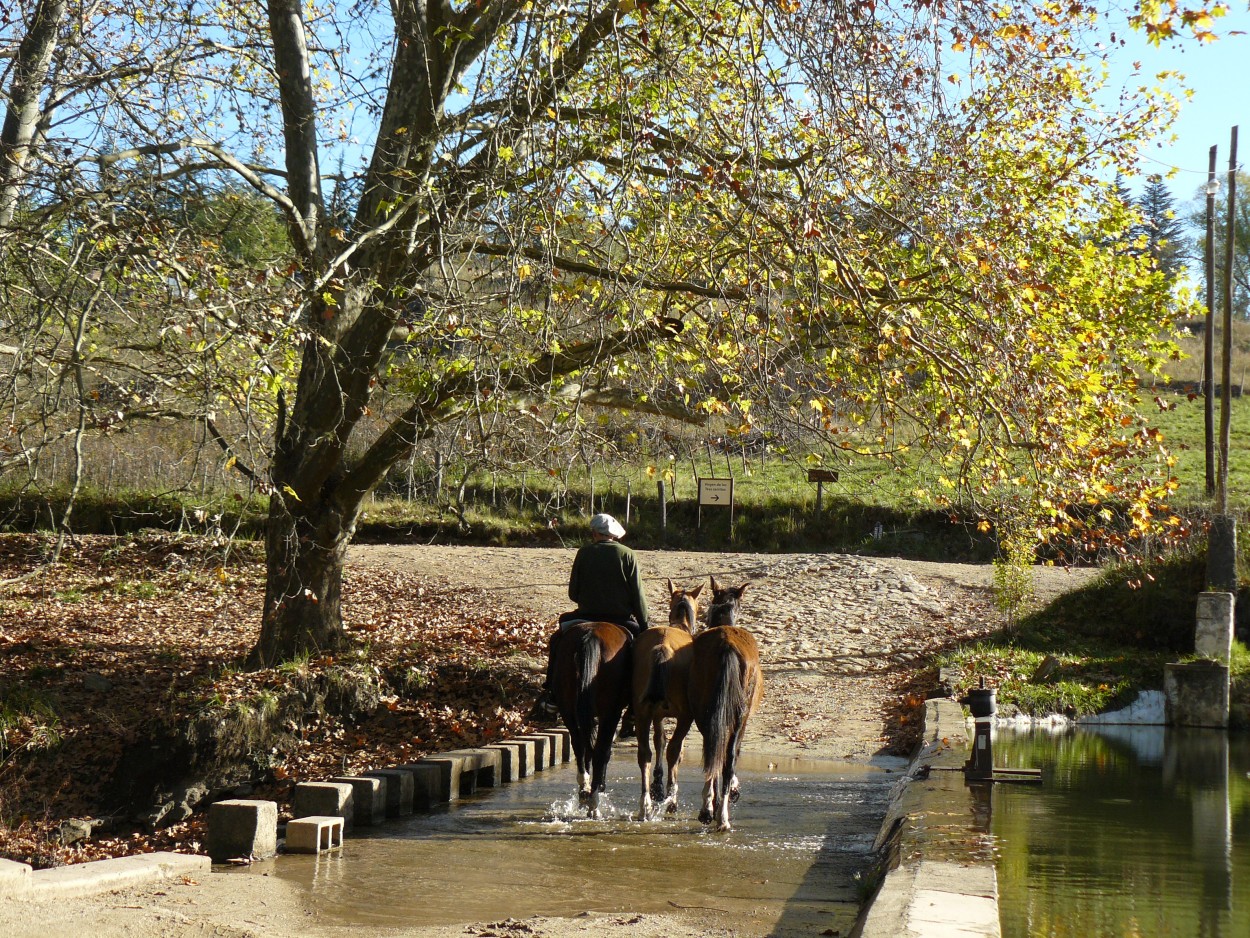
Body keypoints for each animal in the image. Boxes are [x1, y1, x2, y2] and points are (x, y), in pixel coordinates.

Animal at [552, 625, 635, 815]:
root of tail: (591, 635)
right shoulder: (610, 714)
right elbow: (604, 750)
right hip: (610, 712)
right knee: (599, 751)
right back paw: (594, 801)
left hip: (568, 709)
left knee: (579, 745)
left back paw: (584, 789)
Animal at [635, 580, 705, 820]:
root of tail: (662, 647)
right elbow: (673, 747)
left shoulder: (656, 715)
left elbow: (659, 740)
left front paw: (656, 786)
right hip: (685, 716)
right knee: (674, 751)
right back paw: (671, 800)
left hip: (642, 713)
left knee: (644, 753)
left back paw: (646, 803)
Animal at [690, 577, 755, 835]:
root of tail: (727, 645)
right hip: (736, 715)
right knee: (725, 756)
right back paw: (718, 815)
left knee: (714, 750)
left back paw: (714, 812)